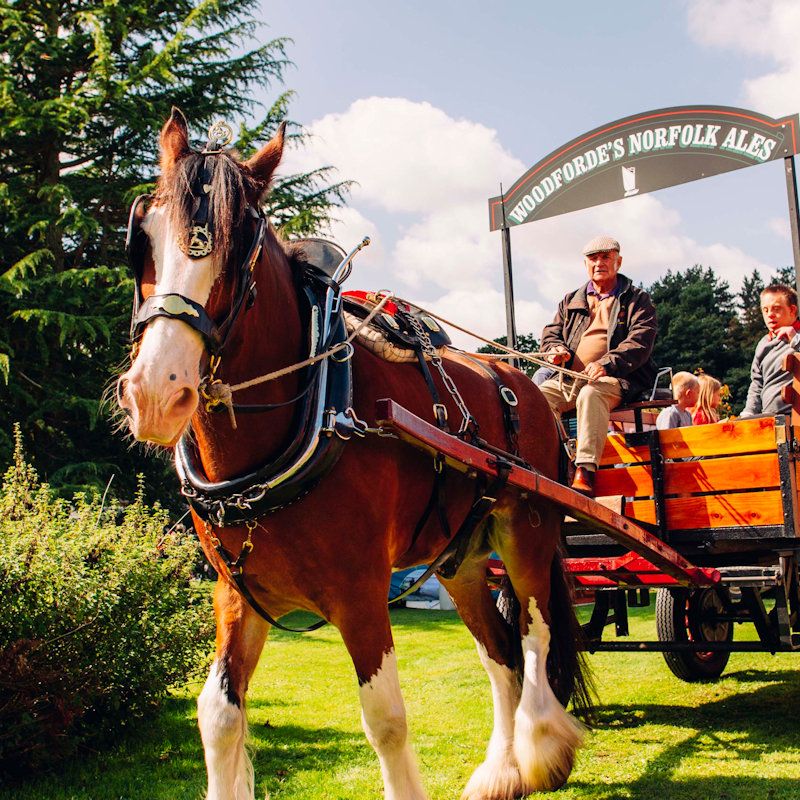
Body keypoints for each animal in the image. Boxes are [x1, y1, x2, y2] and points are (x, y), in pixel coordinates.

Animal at [119, 109, 592, 800]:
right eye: (144, 236)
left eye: (239, 247)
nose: (156, 392)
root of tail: (525, 383)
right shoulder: (237, 595)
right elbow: (218, 715)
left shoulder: (361, 591)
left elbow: (385, 718)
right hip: (460, 559)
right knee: (500, 652)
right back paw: (500, 770)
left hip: (526, 531)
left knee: (535, 636)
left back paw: (542, 751)